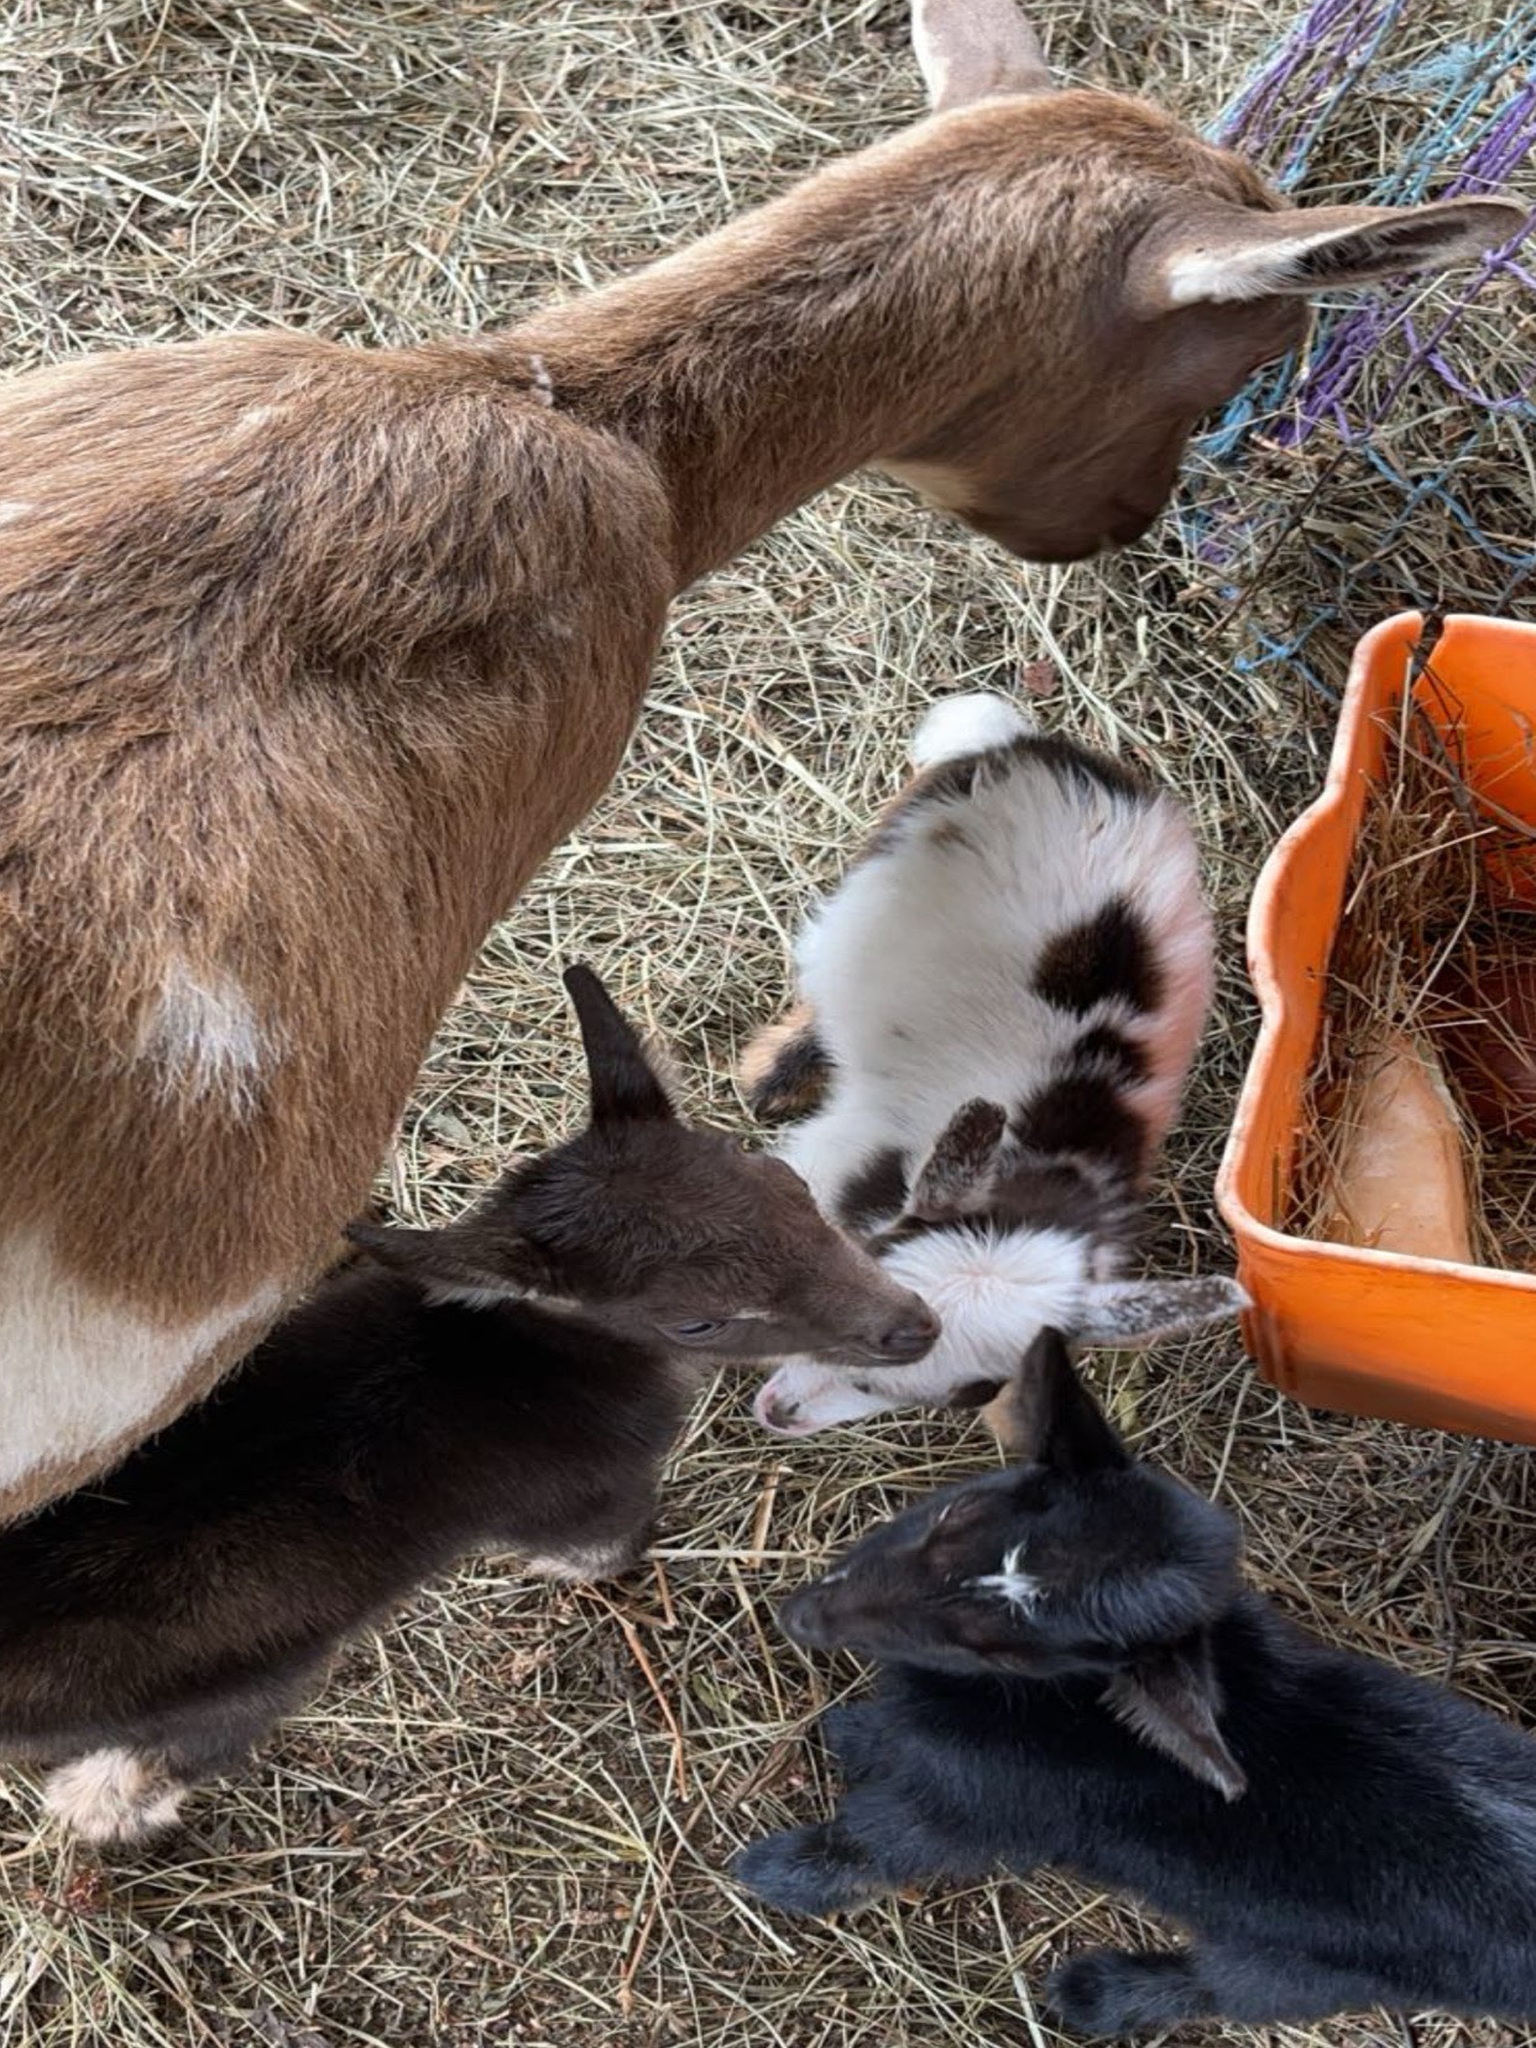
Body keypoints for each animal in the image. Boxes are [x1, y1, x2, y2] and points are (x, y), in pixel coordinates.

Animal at [0, 966, 935, 1846]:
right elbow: (607, 1546)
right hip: (245, 1678)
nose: (912, 1327)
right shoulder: (595, 1488)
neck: (537, 1360)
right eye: (696, 1319)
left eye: (786, 1182)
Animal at [737, 1329, 1536, 2034]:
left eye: (1007, 1651)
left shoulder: (973, 1810)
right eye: (956, 1513)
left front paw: (776, 1872)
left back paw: (1101, 1993)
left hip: (1315, 1966)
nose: (804, 1616)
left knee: (1229, 1989)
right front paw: (854, 1731)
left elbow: (878, 1843)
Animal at [747, 693, 1244, 1440]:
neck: (1041, 1173)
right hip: (871, 880)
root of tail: (1033, 747)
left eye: (958, 1388)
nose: (778, 1412)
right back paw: (772, 1073)